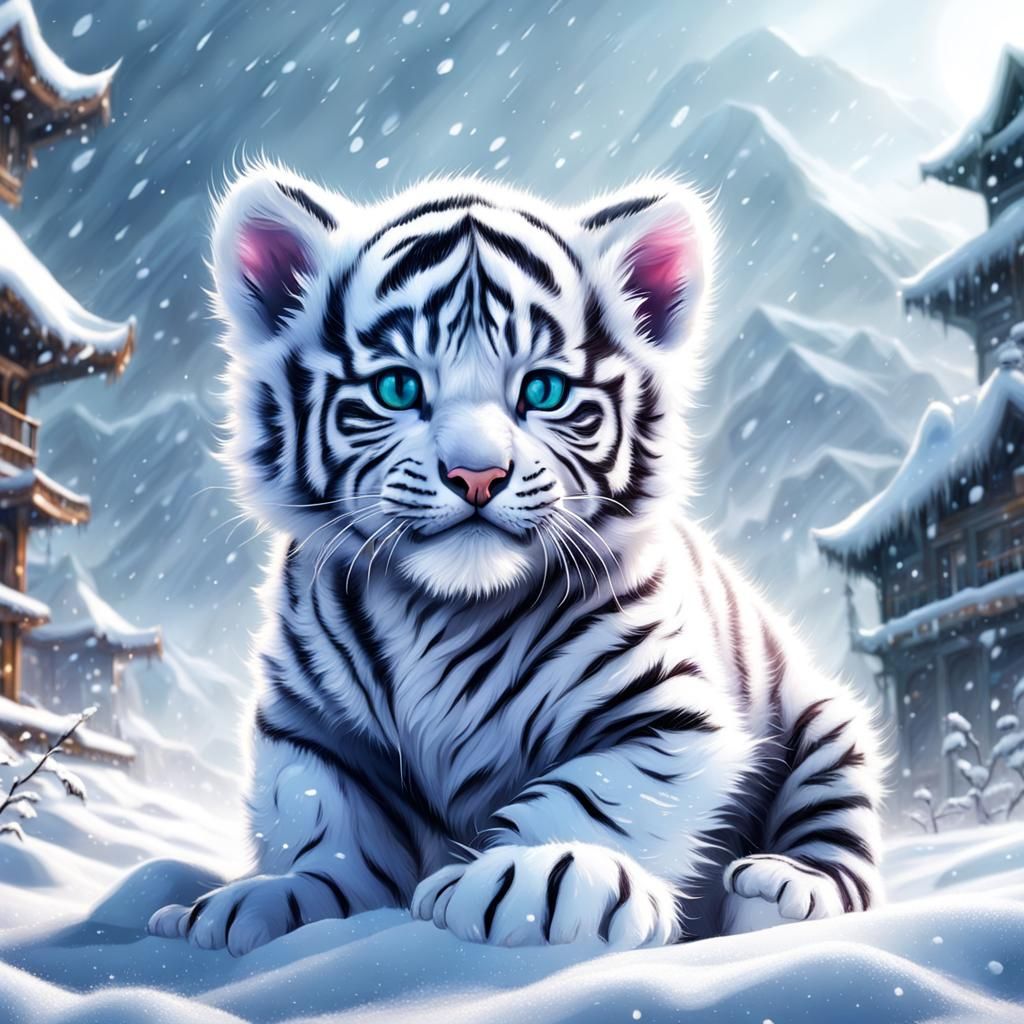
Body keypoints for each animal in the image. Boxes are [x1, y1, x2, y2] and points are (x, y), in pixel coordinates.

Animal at [148, 163, 884, 957]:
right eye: (398, 387)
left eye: (544, 390)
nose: (476, 475)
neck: (443, 610)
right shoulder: (311, 722)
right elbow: (324, 818)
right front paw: (268, 901)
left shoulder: (664, 713)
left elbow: (590, 796)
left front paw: (533, 881)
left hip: (822, 724)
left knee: (836, 842)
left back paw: (778, 891)